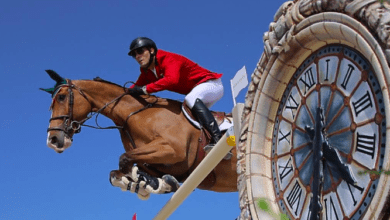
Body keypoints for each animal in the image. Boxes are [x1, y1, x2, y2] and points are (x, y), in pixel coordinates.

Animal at [42, 69, 238, 197]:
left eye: (61, 97)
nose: (53, 140)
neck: (133, 115)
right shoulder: (156, 162)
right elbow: (117, 172)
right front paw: (154, 184)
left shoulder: (173, 150)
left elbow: (124, 159)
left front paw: (146, 183)